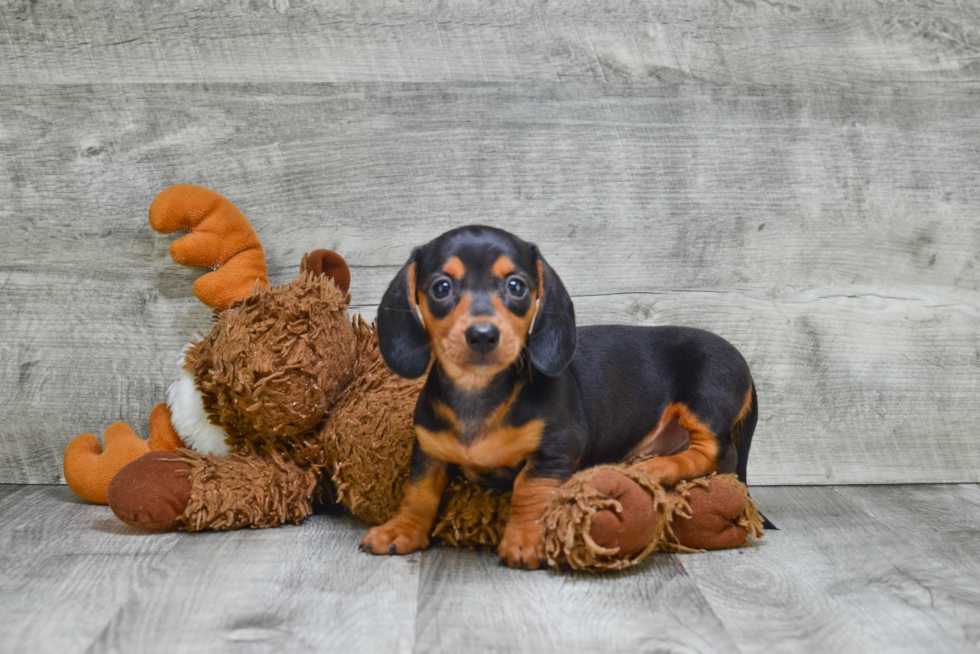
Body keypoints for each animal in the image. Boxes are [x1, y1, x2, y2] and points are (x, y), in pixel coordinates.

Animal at [362, 228, 756, 572]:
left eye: (516, 286)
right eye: (441, 287)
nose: (483, 335)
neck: (479, 392)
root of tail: (747, 367)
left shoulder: (555, 448)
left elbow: (529, 491)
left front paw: (525, 542)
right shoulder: (428, 450)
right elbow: (419, 492)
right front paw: (401, 530)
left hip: (704, 400)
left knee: (718, 456)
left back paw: (655, 467)